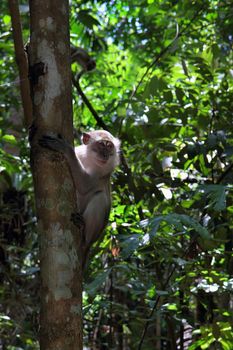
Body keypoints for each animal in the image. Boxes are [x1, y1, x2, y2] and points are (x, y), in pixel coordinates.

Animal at [38, 131, 120, 266]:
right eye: (101, 144)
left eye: (109, 146)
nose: (105, 155)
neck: (89, 158)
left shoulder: (104, 169)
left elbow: (84, 185)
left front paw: (66, 149)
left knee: (100, 198)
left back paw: (83, 233)